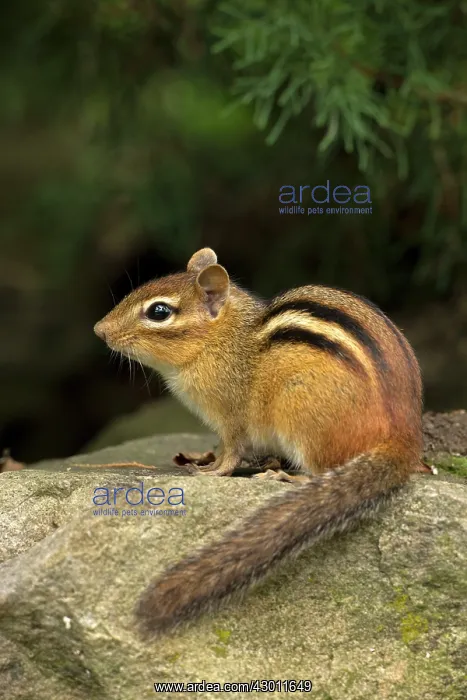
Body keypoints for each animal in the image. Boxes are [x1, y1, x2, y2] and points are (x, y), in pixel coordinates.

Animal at [94, 247, 423, 636]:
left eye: (159, 312)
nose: (99, 330)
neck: (222, 340)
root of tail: (405, 436)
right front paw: (203, 458)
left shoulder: (231, 417)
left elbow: (232, 452)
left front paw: (211, 471)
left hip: (299, 412)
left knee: (322, 470)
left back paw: (287, 476)